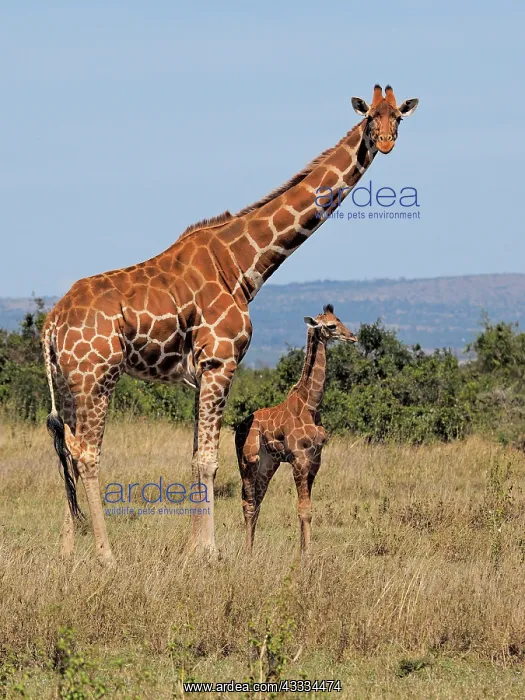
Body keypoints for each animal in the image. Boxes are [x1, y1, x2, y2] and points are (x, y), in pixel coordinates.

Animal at [235, 305, 357, 555]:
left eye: (339, 319)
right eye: (331, 326)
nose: (353, 337)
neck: (311, 404)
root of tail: (238, 428)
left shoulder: (315, 460)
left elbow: (308, 508)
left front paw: (304, 550)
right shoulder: (299, 459)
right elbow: (304, 509)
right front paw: (306, 555)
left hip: (268, 463)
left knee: (257, 502)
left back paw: (252, 549)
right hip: (247, 460)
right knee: (248, 503)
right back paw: (247, 552)